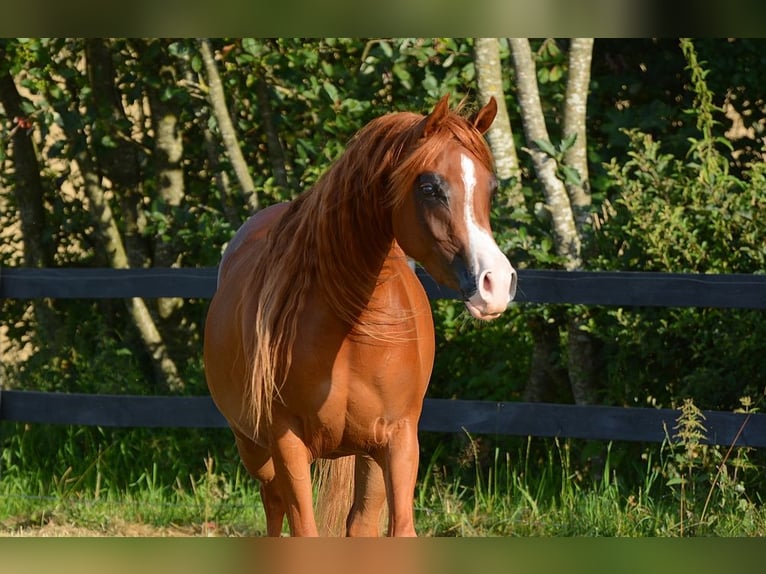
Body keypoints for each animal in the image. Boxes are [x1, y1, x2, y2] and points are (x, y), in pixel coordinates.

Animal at [204, 94, 520, 540]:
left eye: (491, 188)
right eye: (429, 187)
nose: (496, 283)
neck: (351, 328)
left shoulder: (398, 440)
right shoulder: (287, 442)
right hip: (254, 450)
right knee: (274, 506)